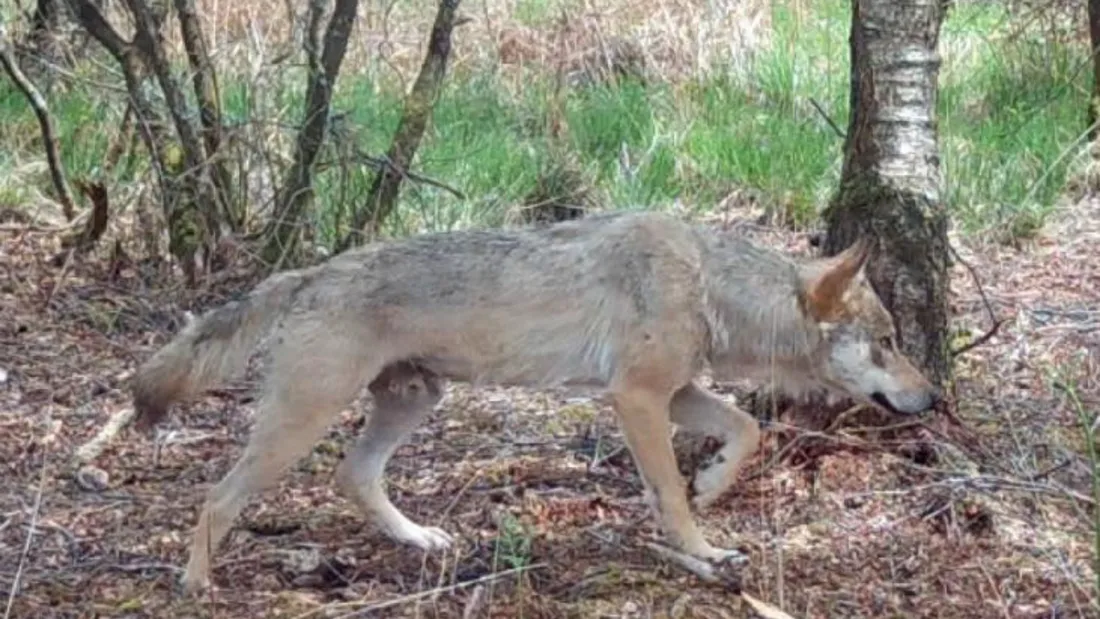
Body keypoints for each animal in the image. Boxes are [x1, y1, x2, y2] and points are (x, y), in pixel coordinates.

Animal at [130, 210, 940, 592]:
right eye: (888, 341)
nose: (931, 398)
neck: (710, 284)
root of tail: (306, 273)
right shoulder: (637, 398)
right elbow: (670, 493)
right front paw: (702, 549)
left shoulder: (675, 390)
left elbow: (745, 430)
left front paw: (712, 487)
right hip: (303, 421)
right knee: (218, 497)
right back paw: (195, 582)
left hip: (412, 402)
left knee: (352, 476)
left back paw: (419, 540)